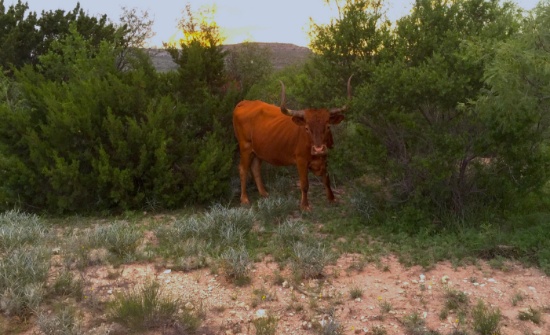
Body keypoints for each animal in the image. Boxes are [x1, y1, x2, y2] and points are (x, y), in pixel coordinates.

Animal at [233, 77, 354, 211]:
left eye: (328, 126)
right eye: (307, 128)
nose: (318, 149)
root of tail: (245, 102)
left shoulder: (326, 158)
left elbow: (326, 179)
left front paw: (332, 199)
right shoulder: (301, 161)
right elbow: (304, 184)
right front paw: (305, 206)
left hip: (258, 150)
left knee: (255, 168)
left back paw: (264, 193)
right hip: (245, 147)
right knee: (243, 169)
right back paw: (244, 199)